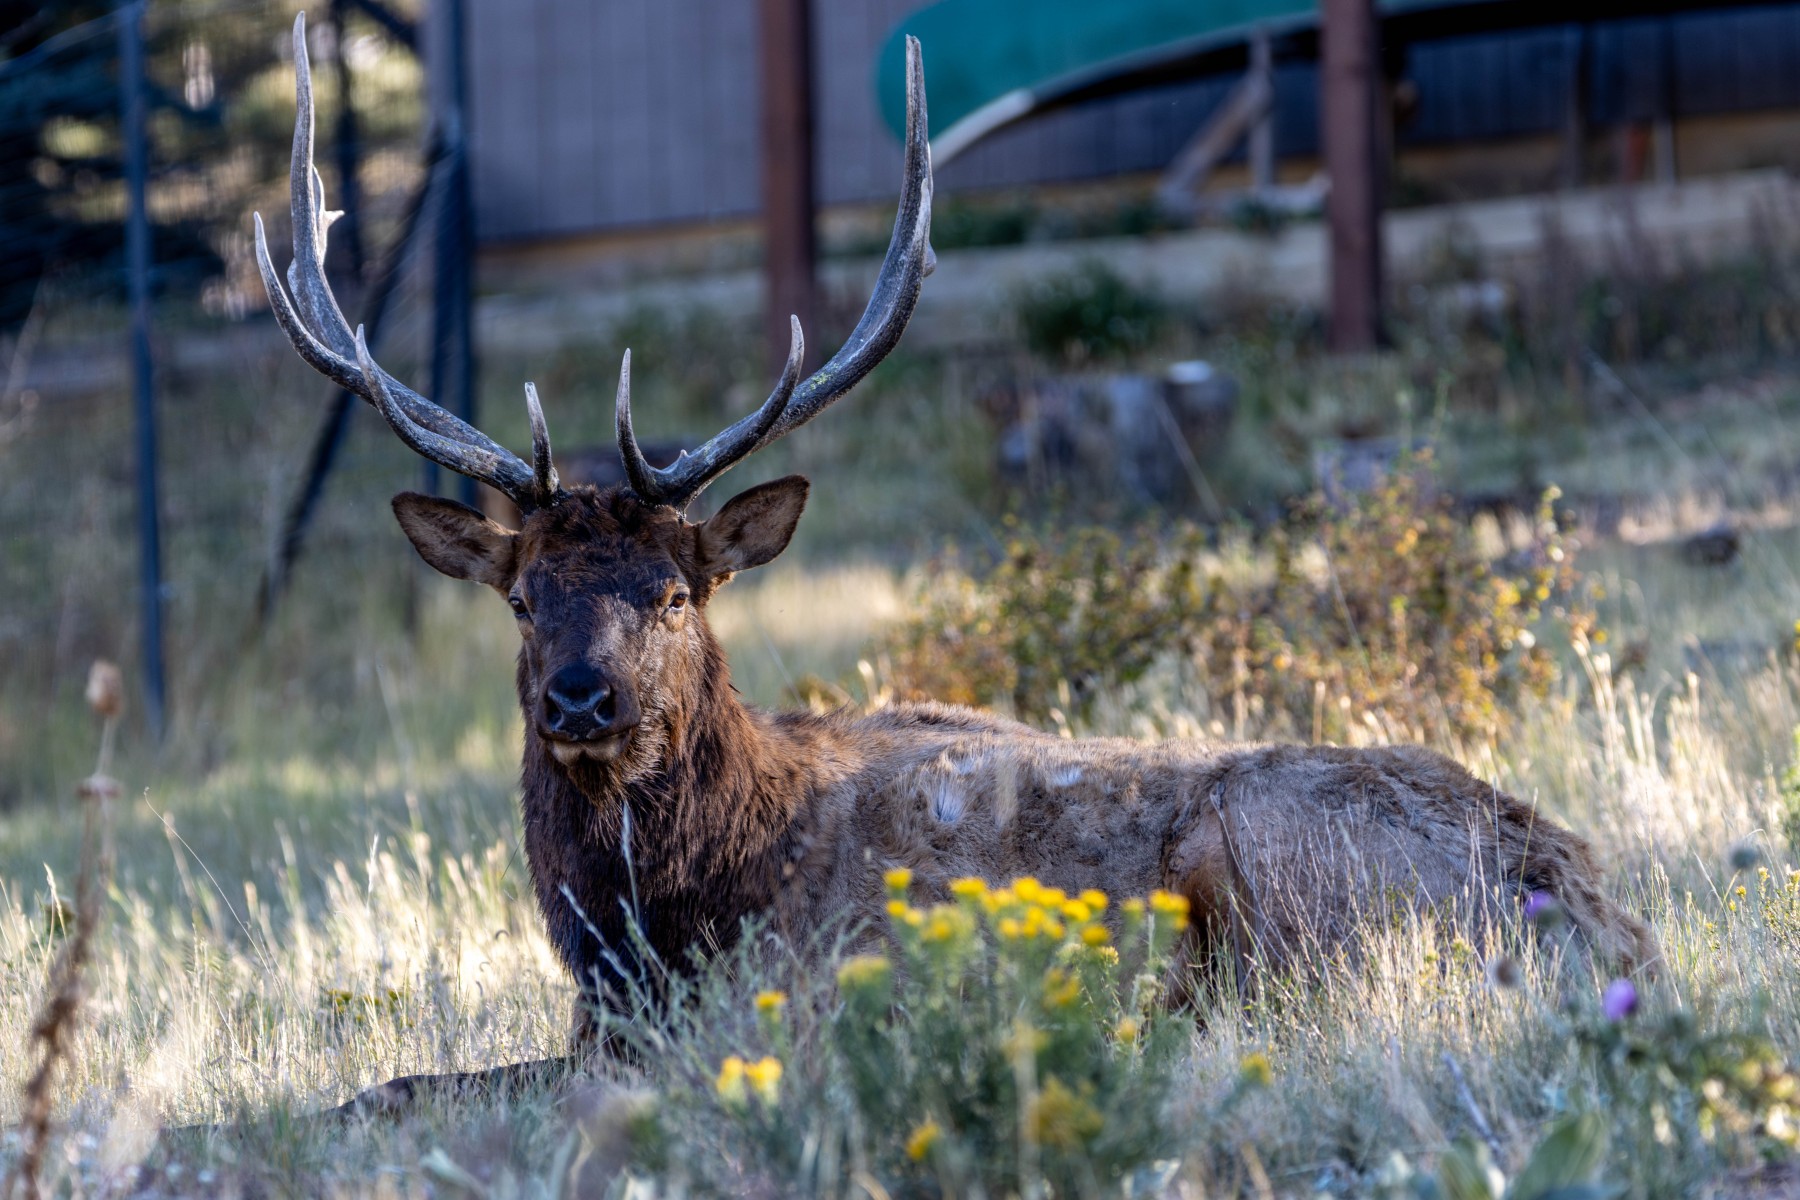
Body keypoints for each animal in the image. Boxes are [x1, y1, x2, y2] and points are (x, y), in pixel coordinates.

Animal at [257, 14, 1656, 1115]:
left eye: (672, 593)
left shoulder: (787, 1000)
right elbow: (387, 1086)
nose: (579, 699)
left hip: (1277, 865)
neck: (664, 926)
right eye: (522, 598)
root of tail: (1597, 912)